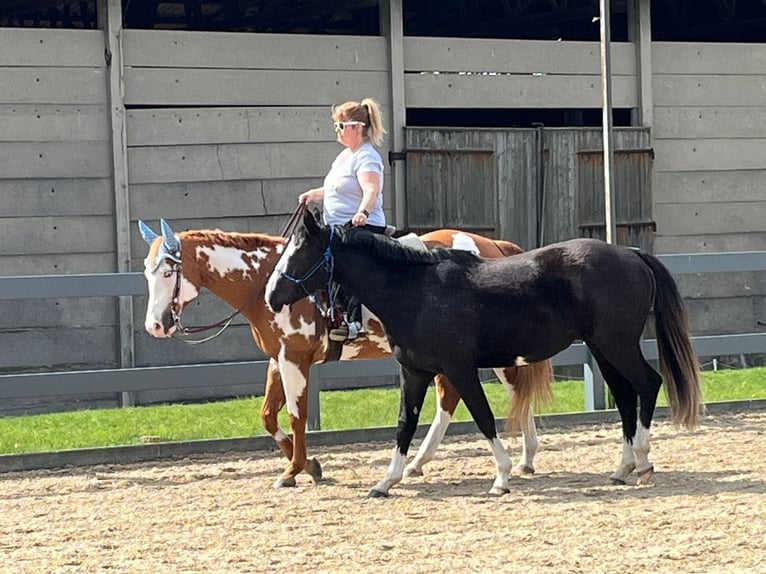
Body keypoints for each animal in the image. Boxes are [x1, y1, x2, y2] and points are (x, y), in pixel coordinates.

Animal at [141, 220, 556, 490]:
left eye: (168, 272)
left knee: (513, 391)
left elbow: (296, 416)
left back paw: (524, 457)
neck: (266, 280)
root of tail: (492, 245)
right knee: (451, 400)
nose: (155, 325)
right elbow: (268, 416)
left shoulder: (294, 359)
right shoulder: (278, 359)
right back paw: (421, 463)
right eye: (146, 271)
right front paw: (311, 466)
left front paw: (294, 471)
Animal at [268, 212, 704, 500]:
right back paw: (622, 468)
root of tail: (630, 253)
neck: (417, 292)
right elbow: (404, 425)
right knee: (627, 397)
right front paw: (386, 482)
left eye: (301, 251)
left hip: (617, 345)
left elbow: (483, 418)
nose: (271, 296)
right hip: (603, 349)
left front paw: (503, 477)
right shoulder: (415, 372)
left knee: (648, 384)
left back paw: (642, 463)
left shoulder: (459, 369)